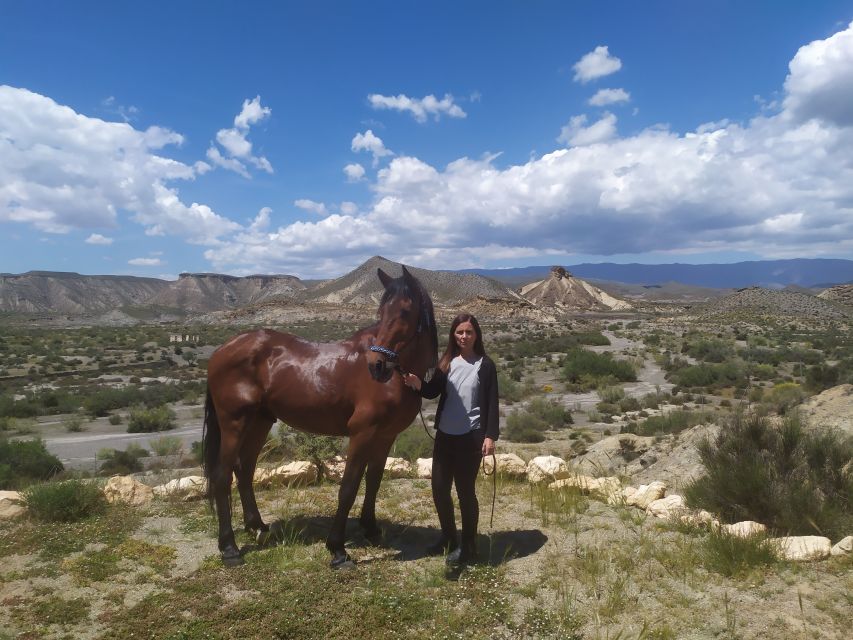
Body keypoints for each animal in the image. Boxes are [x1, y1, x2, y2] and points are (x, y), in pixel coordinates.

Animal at [202, 268, 436, 568]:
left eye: (405, 311)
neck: (398, 378)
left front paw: (371, 529)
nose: (377, 366)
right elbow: (348, 487)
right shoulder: (362, 433)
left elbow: (374, 481)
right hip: (234, 423)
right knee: (222, 476)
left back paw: (258, 527)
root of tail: (222, 350)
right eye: (382, 311)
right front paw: (337, 549)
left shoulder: (385, 436)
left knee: (244, 470)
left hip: (259, 422)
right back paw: (229, 548)